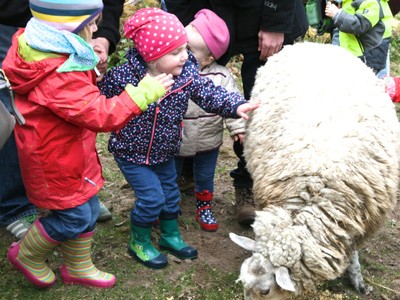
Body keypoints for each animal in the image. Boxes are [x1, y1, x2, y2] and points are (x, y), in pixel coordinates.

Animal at [230, 42, 400, 300]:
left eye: (265, 290)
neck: (317, 189)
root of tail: (313, 44)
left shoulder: (358, 222)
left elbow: (353, 253)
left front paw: (357, 278)